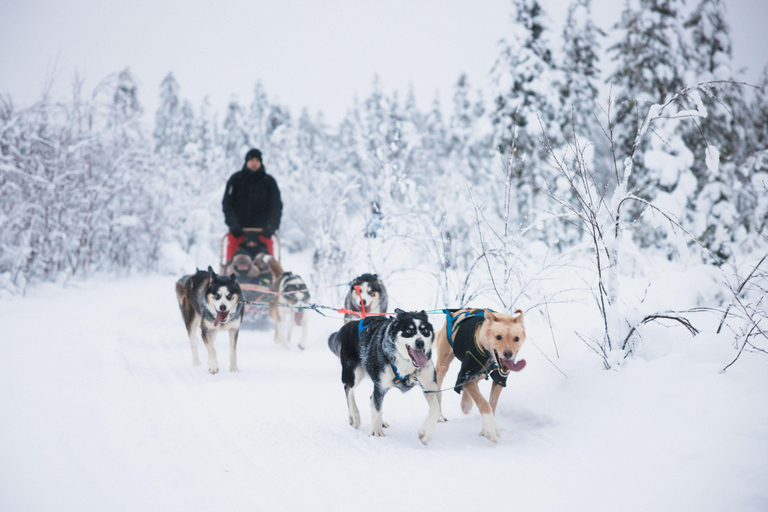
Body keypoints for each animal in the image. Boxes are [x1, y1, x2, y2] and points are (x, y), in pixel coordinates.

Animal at [328, 308, 440, 444]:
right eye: (408, 331)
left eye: (425, 331)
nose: (420, 343)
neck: (406, 365)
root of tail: (348, 326)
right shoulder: (380, 386)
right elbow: (376, 408)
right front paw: (376, 433)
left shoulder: (429, 386)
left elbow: (436, 409)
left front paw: (425, 434)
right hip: (354, 374)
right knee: (349, 390)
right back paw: (355, 416)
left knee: (371, 399)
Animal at [436, 308, 524, 444]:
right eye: (498, 337)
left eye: (516, 338)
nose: (508, 354)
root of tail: (454, 312)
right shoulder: (464, 375)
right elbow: (484, 404)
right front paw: (491, 432)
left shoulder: (499, 379)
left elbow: (492, 405)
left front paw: (487, 428)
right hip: (443, 365)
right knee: (438, 390)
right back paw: (440, 416)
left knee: (476, 382)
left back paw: (466, 404)